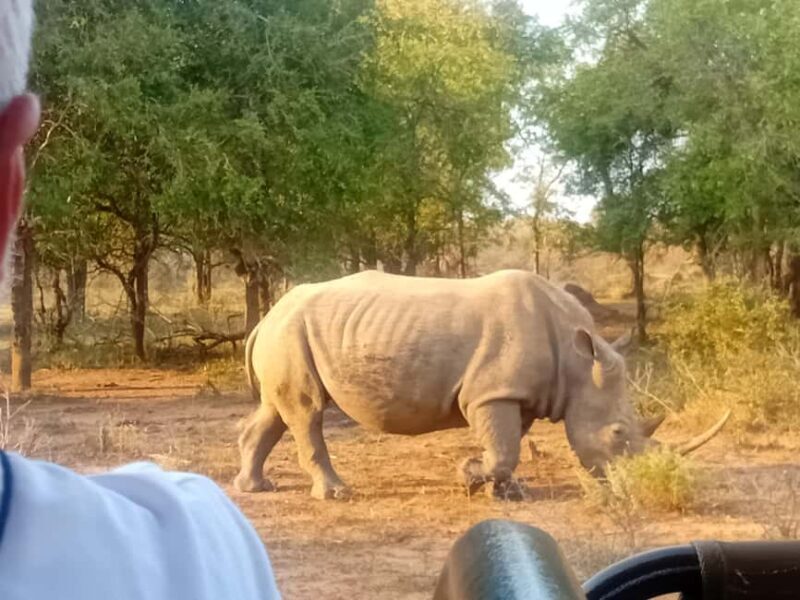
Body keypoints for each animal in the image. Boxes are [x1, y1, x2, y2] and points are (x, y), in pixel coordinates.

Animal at [233, 269, 728, 500]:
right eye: (619, 433)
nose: (636, 485)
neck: (576, 363)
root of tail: (266, 317)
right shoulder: (491, 392)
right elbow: (503, 448)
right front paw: (468, 476)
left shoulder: (519, 393)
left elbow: (509, 447)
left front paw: (510, 492)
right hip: (290, 333)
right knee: (307, 411)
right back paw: (337, 494)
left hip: (287, 335)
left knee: (277, 410)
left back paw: (254, 488)